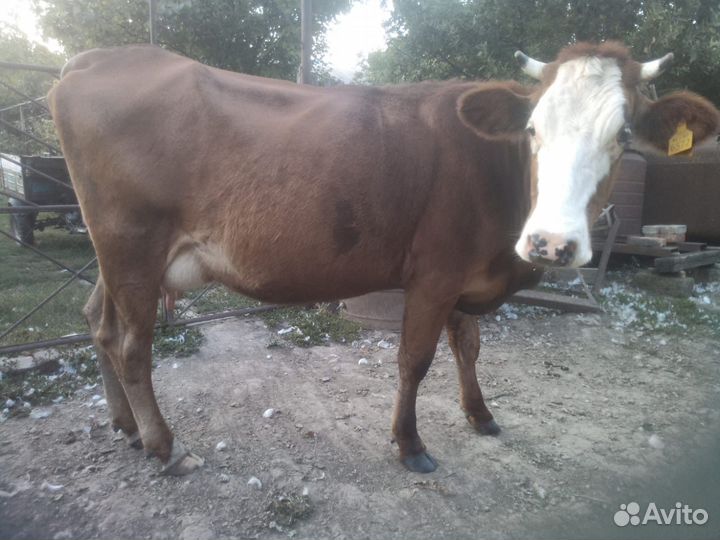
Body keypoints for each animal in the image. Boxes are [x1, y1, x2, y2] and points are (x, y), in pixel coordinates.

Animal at [47, 41, 719, 475]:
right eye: (533, 130)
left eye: (623, 135)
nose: (550, 242)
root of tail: (95, 59)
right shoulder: (436, 273)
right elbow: (414, 361)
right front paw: (410, 445)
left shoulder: (467, 274)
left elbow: (468, 347)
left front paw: (480, 415)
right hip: (132, 245)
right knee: (132, 345)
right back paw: (165, 446)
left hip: (116, 257)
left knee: (97, 323)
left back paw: (127, 427)